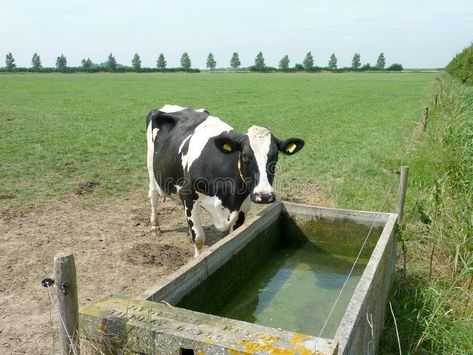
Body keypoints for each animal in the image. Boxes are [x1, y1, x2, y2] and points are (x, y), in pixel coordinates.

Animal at [146, 104, 304, 258]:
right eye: (245, 156)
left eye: (275, 156)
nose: (264, 195)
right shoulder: (188, 195)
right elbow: (198, 239)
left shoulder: (243, 205)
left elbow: (232, 237)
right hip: (151, 167)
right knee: (153, 195)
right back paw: (155, 226)